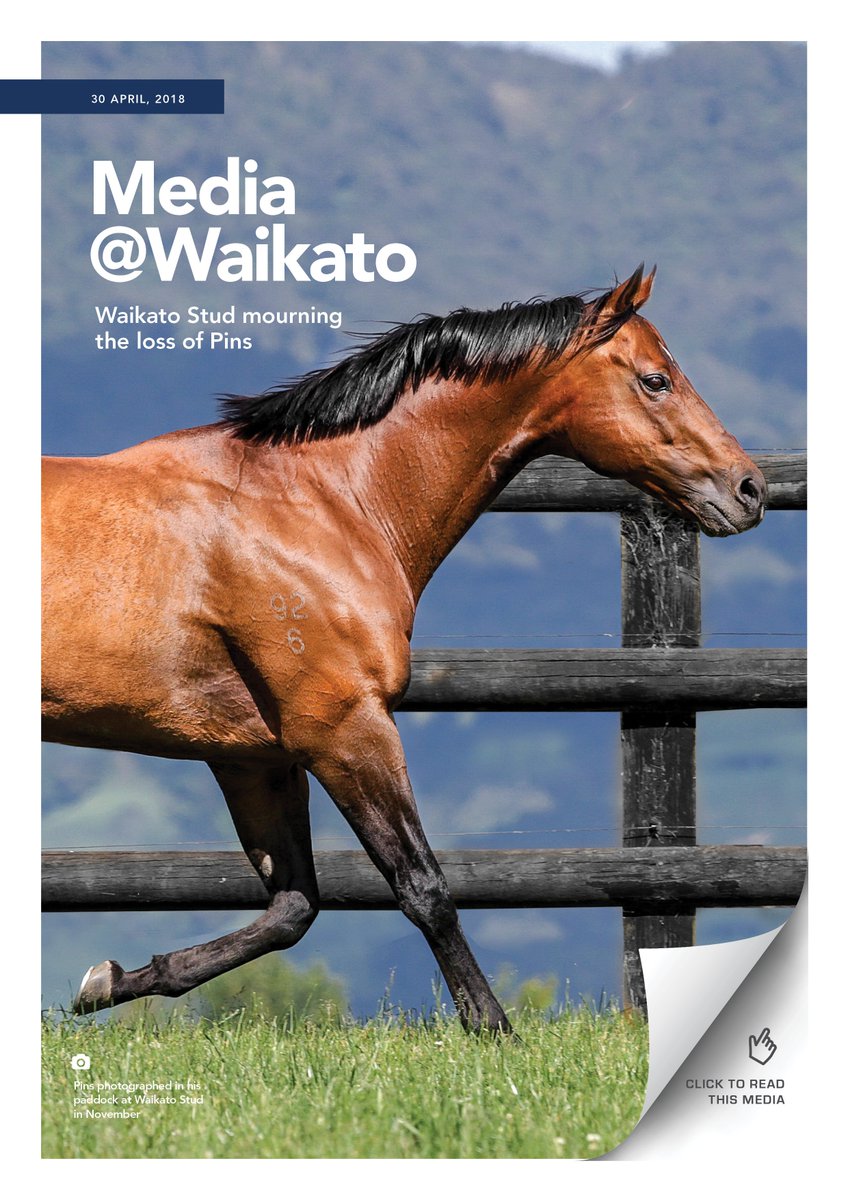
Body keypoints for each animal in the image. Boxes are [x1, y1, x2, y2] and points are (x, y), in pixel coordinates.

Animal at [42, 266, 766, 1033]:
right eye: (656, 379)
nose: (748, 488)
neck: (323, 504)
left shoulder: (255, 757)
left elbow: (292, 907)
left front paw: (110, 981)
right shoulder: (346, 729)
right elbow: (422, 885)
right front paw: (494, 1029)